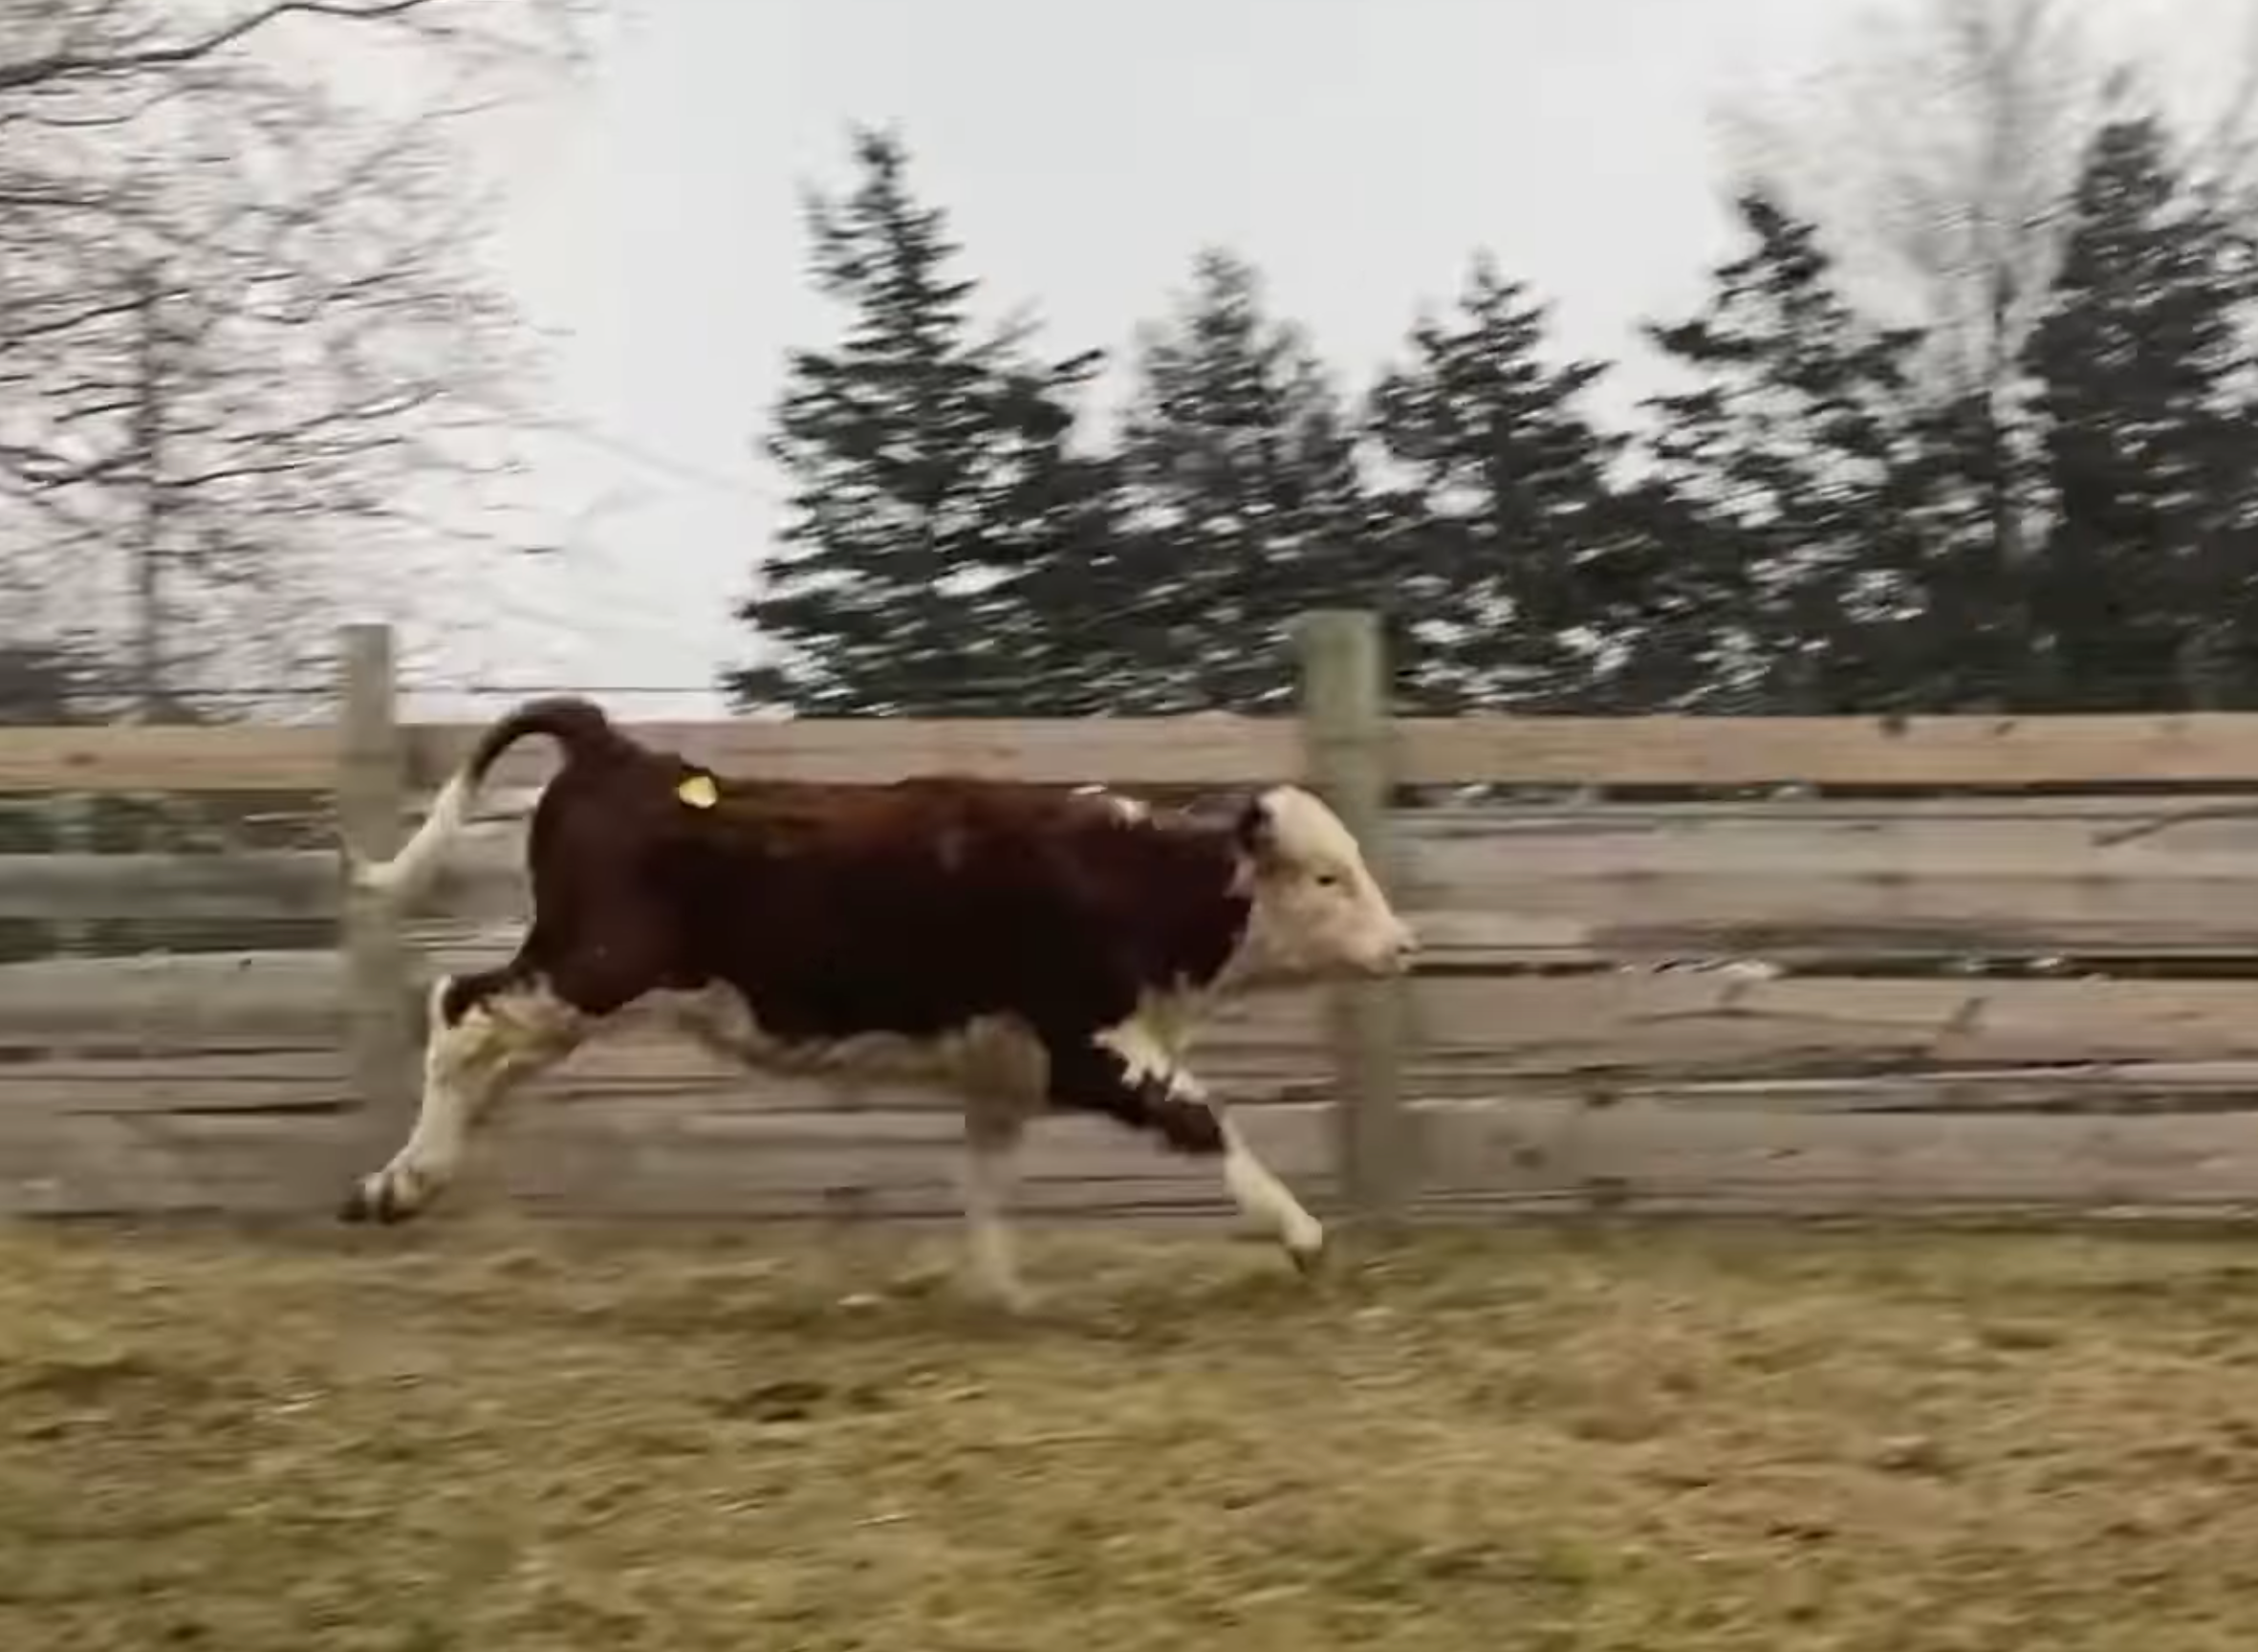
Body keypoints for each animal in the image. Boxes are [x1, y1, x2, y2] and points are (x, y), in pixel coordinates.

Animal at [343, 695, 1418, 1299]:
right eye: (1327, 877)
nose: (1402, 946)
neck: (1120, 878)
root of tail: (618, 751)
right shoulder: (1092, 1046)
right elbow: (1202, 1120)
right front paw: (1303, 1238)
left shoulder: (1005, 1067)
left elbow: (983, 1177)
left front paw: (999, 1294)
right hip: (589, 970)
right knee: (460, 1016)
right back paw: (394, 1185)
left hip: (572, 985)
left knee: (481, 1046)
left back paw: (409, 1182)